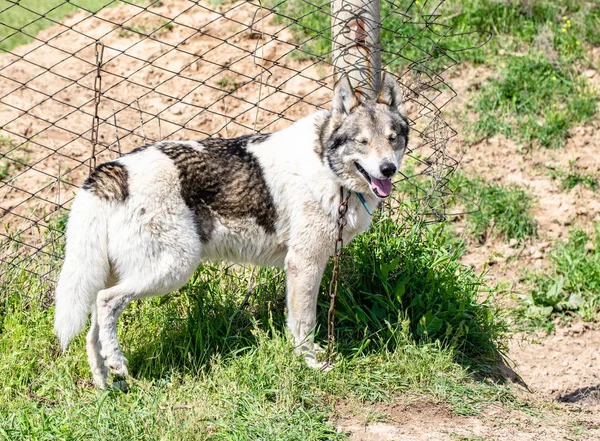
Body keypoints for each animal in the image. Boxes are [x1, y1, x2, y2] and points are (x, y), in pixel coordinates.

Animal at [54, 71, 410, 384]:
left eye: (392, 139)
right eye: (362, 142)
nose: (388, 169)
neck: (327, 168)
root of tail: (114, 169)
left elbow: (296, 322)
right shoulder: (304, 264)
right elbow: (304, 323)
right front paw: (311, 364)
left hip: (125, 273)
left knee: (93, 329)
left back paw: (105, 382)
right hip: (171, 269)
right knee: (105, 303)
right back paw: (117, 364)